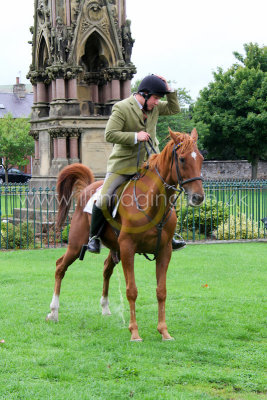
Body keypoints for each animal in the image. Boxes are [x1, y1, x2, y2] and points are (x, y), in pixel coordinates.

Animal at [46, 128, 205, 340]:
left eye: (201, 158)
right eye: (182, 159)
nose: (198, 197)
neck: (152, 203)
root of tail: (88, 188)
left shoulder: (164, 251)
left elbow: (161, 291)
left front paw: (164, 331)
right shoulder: (128, 249)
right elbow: (132, 291)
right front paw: (135, 332)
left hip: (115, 249)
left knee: (106, 269)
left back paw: (105, 308)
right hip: (76, 245)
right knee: (60, 268)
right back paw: (54, 312)